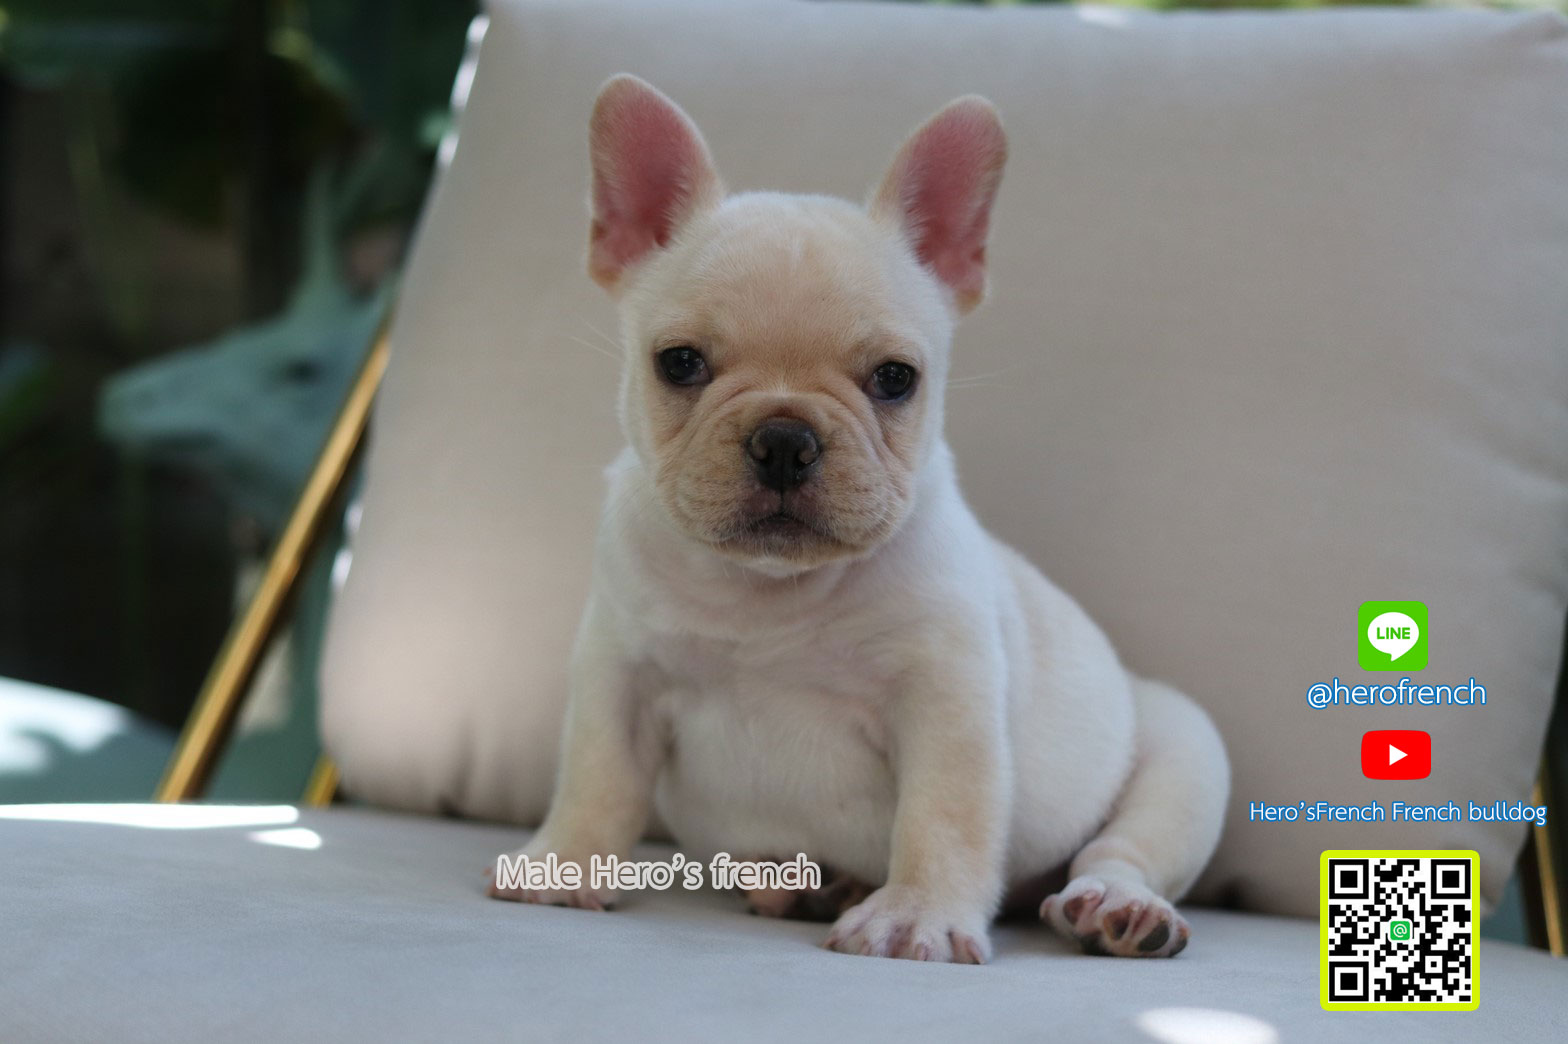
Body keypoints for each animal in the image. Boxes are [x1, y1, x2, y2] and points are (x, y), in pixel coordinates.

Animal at [489, 74, 1229, 964]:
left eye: (895, 379)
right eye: (680, 364)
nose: (783, 438)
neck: (768, 592)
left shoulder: (945, 701)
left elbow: (943, 816)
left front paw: (916, 914)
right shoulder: (620, 674)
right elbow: (596, 776)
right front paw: (563, 863)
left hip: (1184, 752)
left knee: (1122, 848)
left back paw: (1118, 909)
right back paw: (815, 886)